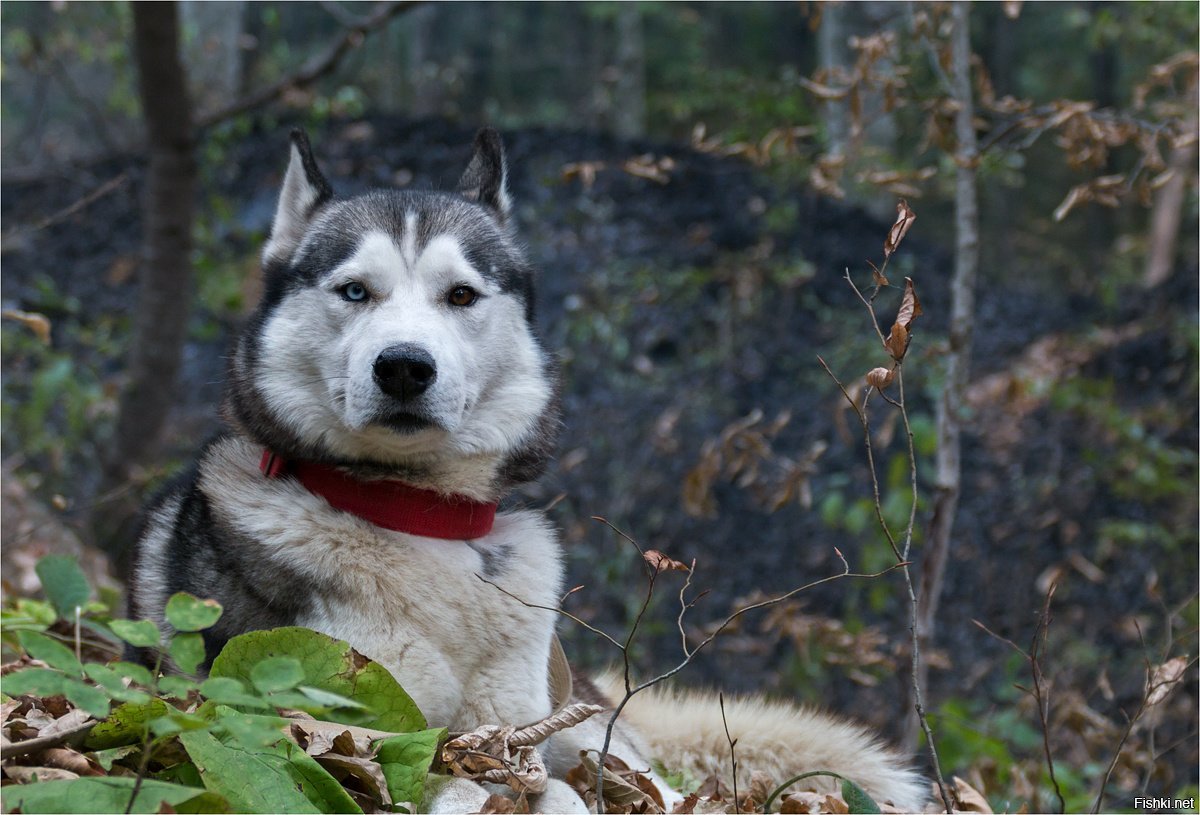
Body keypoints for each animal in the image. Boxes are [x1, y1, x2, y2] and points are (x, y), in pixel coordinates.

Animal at [126, 130, 921, 811]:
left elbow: (561, 790)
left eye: (461, 294)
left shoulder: (520, 732)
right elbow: (441, 778)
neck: (419, 519)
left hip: (596, 726)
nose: (405, 366)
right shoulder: (362, 726)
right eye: (355, 290)